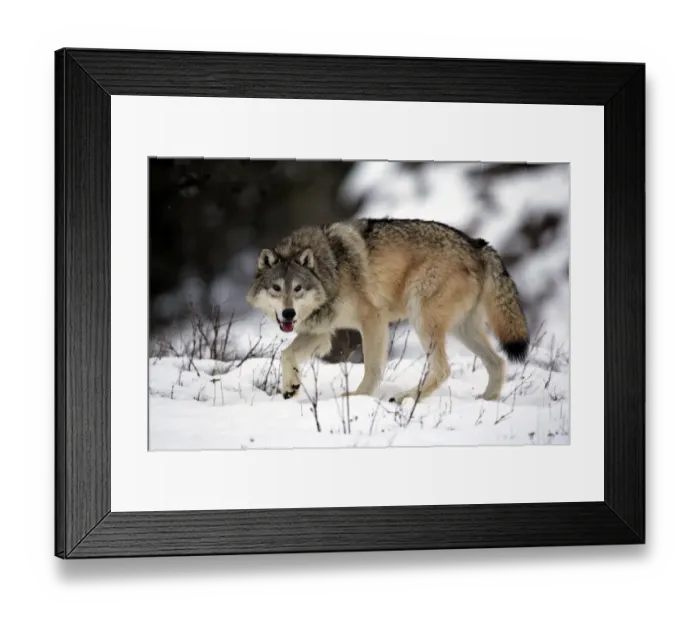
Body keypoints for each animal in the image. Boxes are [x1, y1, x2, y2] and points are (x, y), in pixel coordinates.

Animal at [246, 218, 529, 404]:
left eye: (298, 288)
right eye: (276, 288)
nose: (289, 314)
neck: (332, 269)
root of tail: (478, 245)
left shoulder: (373, 320)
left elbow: (372, 367)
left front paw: (359, 397)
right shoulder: (321, 332)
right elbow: (286, 354)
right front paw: (290, 387)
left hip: (422, 317)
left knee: (443, 369)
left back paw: (407, 397)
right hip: (463, 330)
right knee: (498, 363)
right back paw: (487, 400)